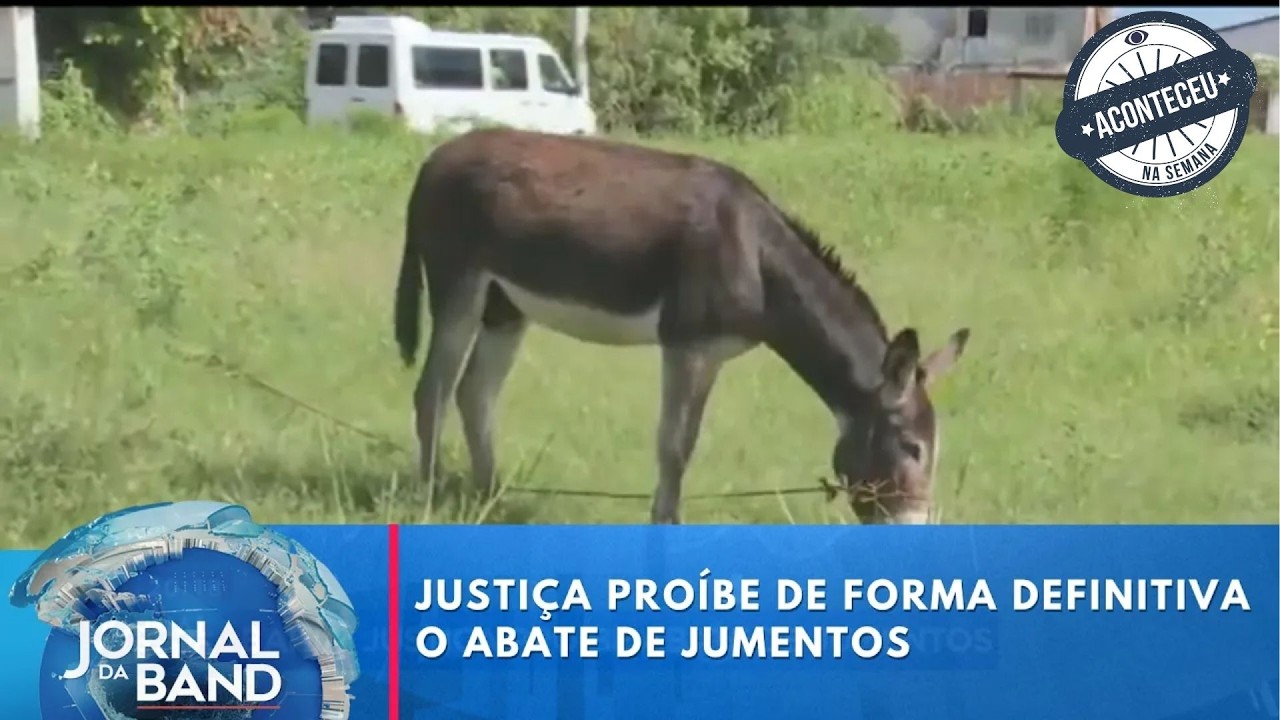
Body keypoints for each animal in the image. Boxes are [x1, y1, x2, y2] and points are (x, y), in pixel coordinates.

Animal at [393, 128, 969, 524]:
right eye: (912, 448)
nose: (917, 533)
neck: (756, 259)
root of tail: (433, 159)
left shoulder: (710, 352)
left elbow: (685, 445)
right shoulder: (685, 343)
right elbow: (673, 445)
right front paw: (666, 527)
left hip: (505, 307)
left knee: (474, 392)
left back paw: (490, 497)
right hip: (457, 283)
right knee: (433, 390)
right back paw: (428, 495)